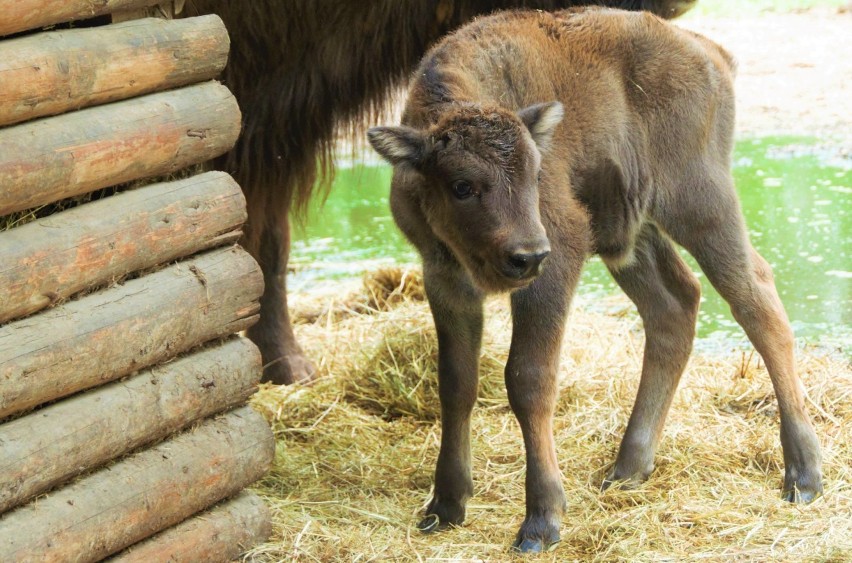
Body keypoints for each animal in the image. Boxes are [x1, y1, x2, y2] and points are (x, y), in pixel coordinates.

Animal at [370, 5, 824, 556]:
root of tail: (709, 53)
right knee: (675, 306)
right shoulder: (444, 279)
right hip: (631, 234)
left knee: (757, 303)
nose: (527, 255)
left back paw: (803, 475)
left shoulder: (557, 263)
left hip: (700, 203)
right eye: (461, 185)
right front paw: (445, 506)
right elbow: (456, 382)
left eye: (535, 174)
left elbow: (529, 379)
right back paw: (628, 468)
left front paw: (541, 522)